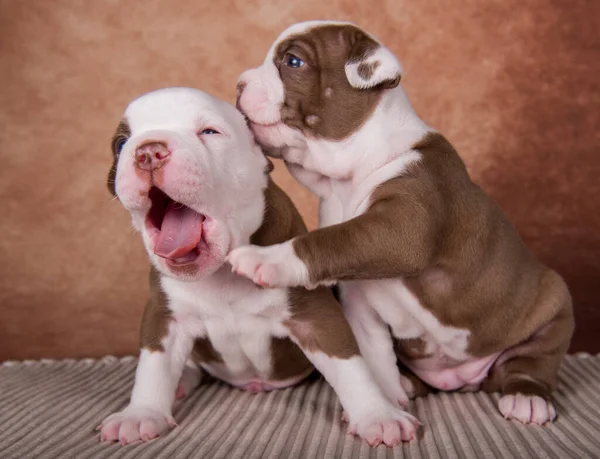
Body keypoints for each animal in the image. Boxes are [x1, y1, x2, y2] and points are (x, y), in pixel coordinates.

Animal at [230, 19, 572, 426]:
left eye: (293, 61)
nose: (238, 84)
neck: (349, 177)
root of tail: (462, 381)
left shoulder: (402, 225)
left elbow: (330, 240)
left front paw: (262, 259)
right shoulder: (358, 301)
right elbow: (375, 358)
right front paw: (385, 408)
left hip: (553, 305)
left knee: (532, 361)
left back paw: (526, 397)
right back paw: (410, 384)